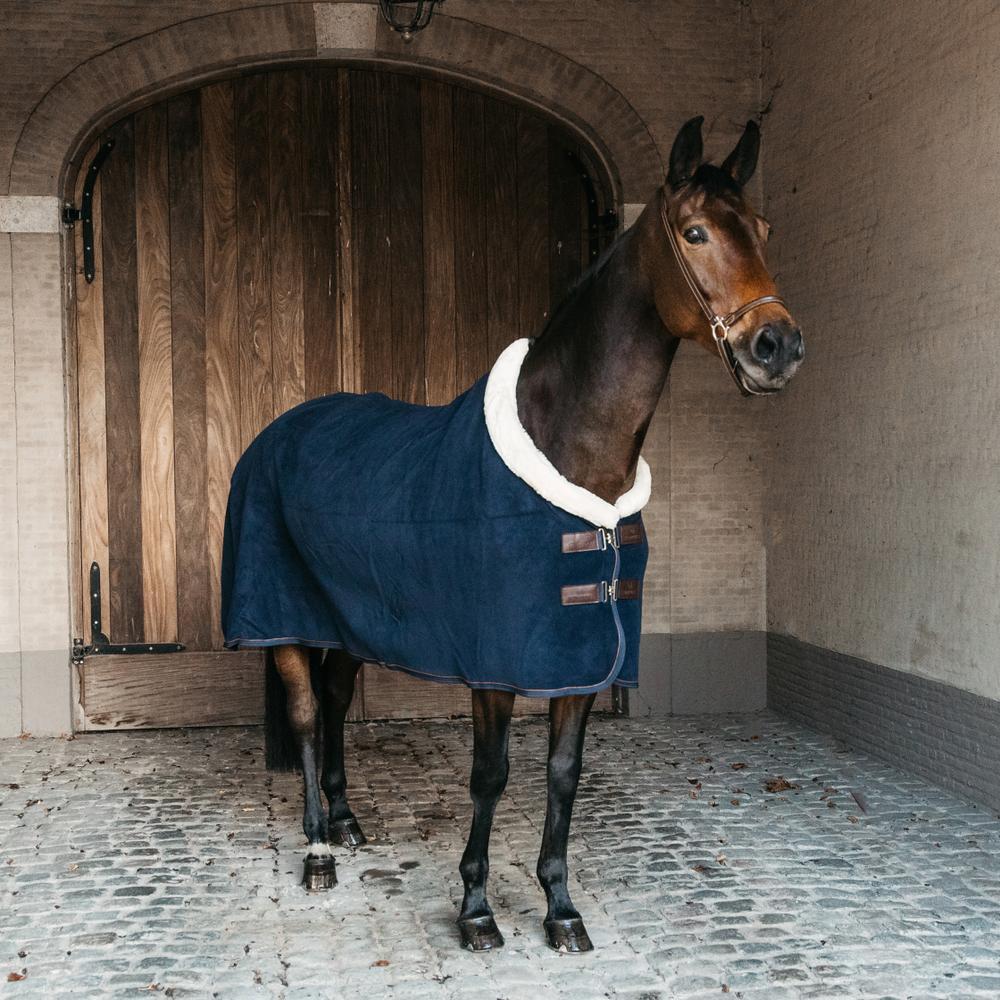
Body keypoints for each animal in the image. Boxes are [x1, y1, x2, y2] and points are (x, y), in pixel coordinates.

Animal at [221, 114, 804, 954]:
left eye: (761, 229)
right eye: (695, 232)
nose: (777, 346)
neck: (571, 454)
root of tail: (278, 431)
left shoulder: (583, 657)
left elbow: (563, 772)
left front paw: (560, 908)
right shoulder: (493, 665)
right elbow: (490, 776)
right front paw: (475, 909)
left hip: (349, 621)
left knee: (332, 702)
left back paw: (348, 818)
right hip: (284, 618)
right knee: (303, 715)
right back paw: (319, 849)